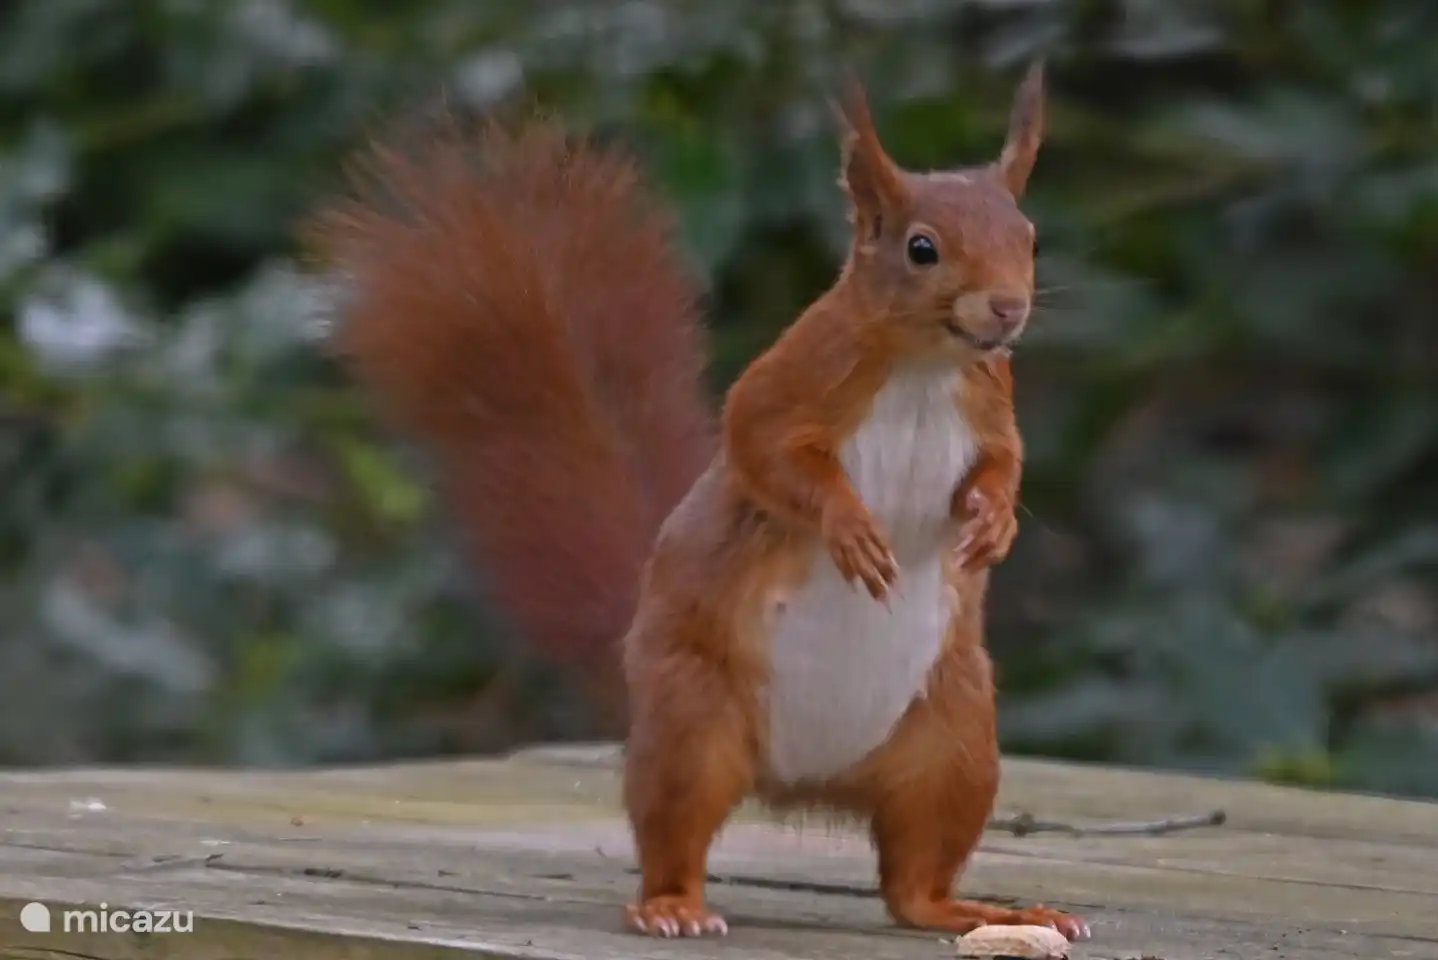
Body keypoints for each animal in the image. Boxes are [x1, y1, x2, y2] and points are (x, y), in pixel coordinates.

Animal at [302, 62, 1089, 943]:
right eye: (923, 248)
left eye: (1028, 238)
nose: (1008, 309)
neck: (925, 366)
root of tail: (800, 779)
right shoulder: (788, 384)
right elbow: (765, 453)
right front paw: (851, 527)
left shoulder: (991, 404)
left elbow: (1004, 464)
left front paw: (994, 522)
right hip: (692, 720)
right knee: (677, 829)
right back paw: (671, 906)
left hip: (954, 745)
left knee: (912, 884)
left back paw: (977, 907)